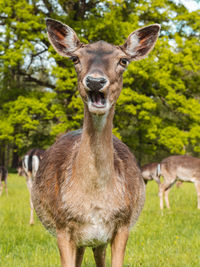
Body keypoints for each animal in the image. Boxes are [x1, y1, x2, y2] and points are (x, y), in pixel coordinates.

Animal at [31, 19, 159, 267]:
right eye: (75, 59)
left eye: (123, 60)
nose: (95, 81)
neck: (95, 203)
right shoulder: (62, 227)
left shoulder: (123, 224)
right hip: (81, 239)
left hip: (97, 240)